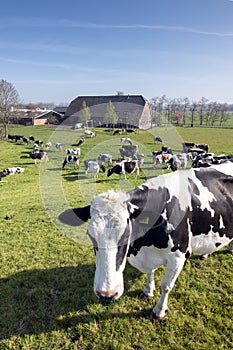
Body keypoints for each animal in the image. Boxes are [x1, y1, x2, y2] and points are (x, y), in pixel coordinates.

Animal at [58, 161, 233, 320]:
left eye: (126, 235)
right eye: (90, 236)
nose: (107, 294)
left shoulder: (179, 255)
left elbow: (166, 285)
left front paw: (159, 310)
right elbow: (150, 272)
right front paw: (148, 291)